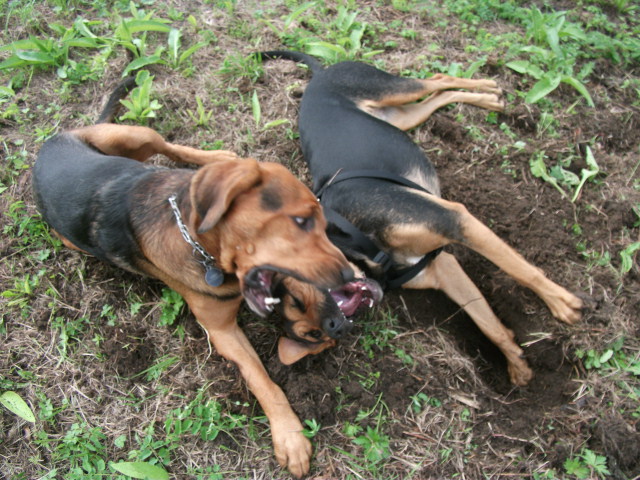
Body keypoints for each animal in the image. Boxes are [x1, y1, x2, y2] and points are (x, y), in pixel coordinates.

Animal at [32, 79, 360, 476]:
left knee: (169, 150)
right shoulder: (222, 332)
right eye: (301, 221)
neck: (199, 242)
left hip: (135, 136)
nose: (347, 274)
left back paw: (220, 158)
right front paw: (290, 436)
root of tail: (47, 148)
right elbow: (263, 381)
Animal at [262, 50, 584, 384]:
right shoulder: (443, 268)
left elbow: (521, 270)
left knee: (437, 79)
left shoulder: (453, 219)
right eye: (311, 335)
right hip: (401, 117)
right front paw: (516, 365)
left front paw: (562, 304)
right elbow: (488, 323)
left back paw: (488, 91)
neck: (359, 243)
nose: (333, 327)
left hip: (388, 88)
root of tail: (320, 75)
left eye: (297, 298)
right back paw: (488, 98)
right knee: (437, 96)